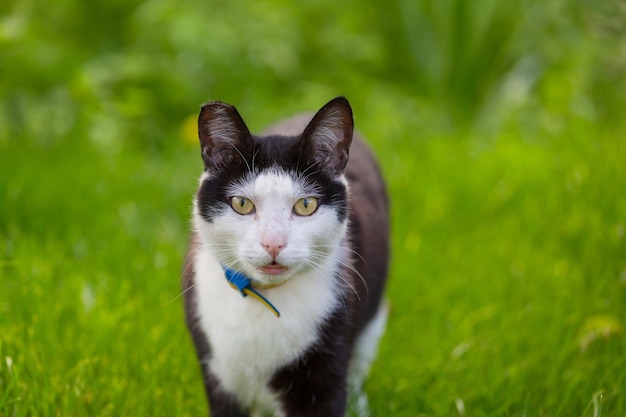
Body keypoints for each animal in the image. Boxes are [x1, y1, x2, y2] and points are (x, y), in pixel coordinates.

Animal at [180, 96, 388, 416]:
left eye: (306, 205)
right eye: (242, 204)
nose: (273, 243)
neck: (263, 299)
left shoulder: (324, 367)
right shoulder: (218, 371)